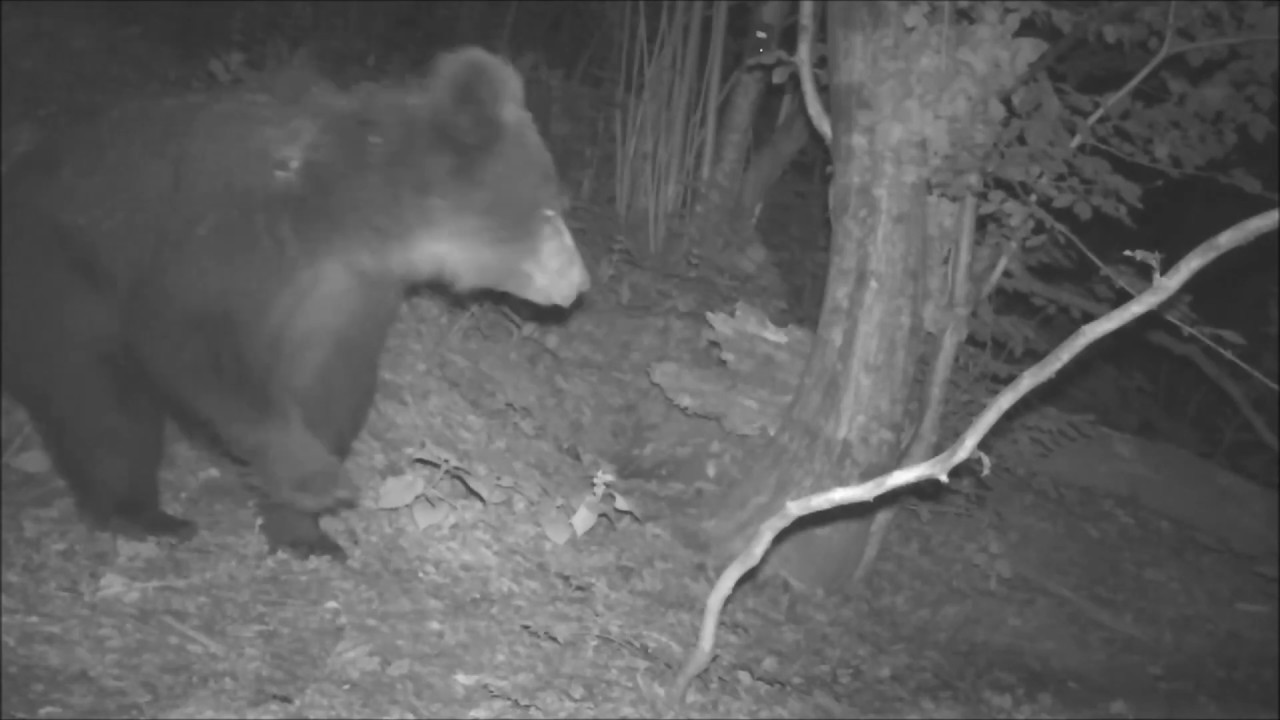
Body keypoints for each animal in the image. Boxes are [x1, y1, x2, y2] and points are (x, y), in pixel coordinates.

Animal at [0, 47, 590, 561]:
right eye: (548, 209)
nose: (578, 282)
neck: (349, 220)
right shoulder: (221, 239)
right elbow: (193, 343)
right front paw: (319, 481)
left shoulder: (348, 292)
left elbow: (330, 385)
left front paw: (304, 530)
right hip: (59, 277)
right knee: (100, 399)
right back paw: (141, 513)